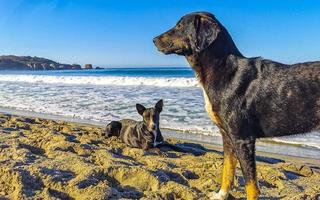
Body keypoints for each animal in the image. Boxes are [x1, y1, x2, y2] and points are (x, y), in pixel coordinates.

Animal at [152, 11, 320, 199]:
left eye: (180, 26)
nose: (154, 40)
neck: (222, 69)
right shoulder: (227, 136)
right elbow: (227, 170)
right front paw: (221, 195)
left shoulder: (242, 139)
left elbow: (251, 185)